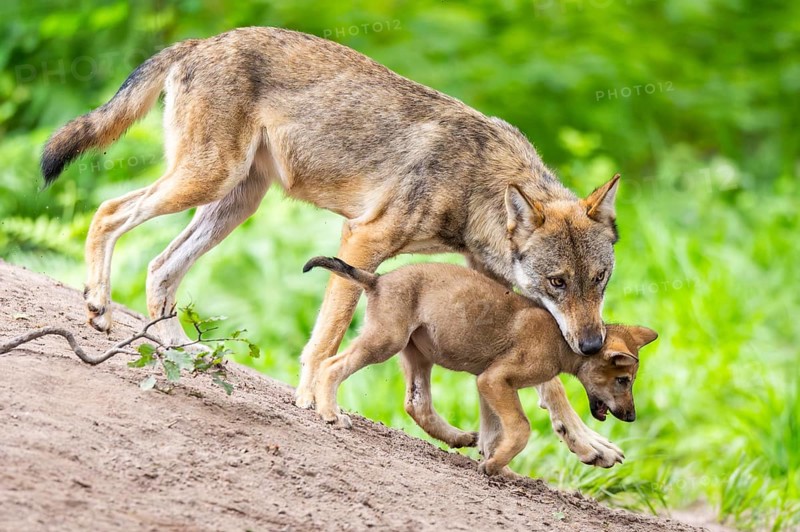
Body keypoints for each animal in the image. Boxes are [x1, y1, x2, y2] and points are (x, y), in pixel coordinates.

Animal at [41, 27, 623, 466]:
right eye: (557, 282)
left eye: (599, 280)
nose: (591, 344)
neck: (477, 181)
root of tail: (204, 40)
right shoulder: (361, 241)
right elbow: (327, 336)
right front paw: (309, 399)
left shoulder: (503, 291)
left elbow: (549, 384)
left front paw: (588, 444)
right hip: (205, 182)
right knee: (108, 213)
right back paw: (98, 305)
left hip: (234, 202)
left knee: (160, 269)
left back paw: (185, 353)